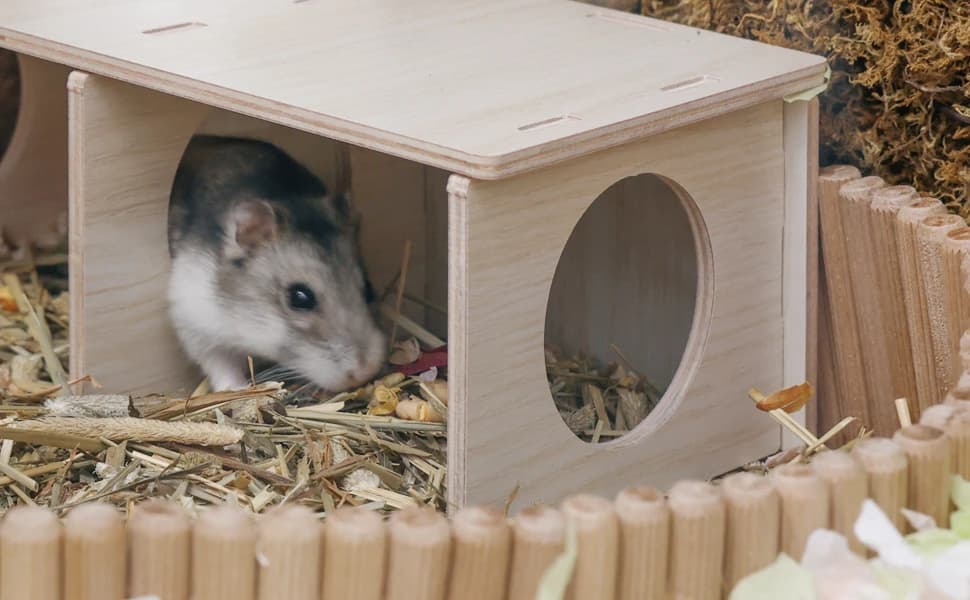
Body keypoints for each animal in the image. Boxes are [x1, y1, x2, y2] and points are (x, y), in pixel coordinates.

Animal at [167, 134, 386, 392]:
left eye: (369, 289)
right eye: (299, 298)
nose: (365, 372)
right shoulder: (195, 321)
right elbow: (221, 365)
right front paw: (239, 390)